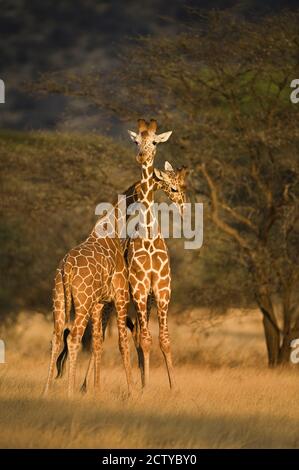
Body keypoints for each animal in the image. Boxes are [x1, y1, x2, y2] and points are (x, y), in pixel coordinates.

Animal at [81, 162, 189, 392]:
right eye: (173, 188)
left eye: (184, 186)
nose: (184, 209)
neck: (149, 240)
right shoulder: (139, 289)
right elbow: (146, 340)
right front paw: (145, 388)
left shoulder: (161, 291)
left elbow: (163, 339)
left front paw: (172, 387)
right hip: (110, 304)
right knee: (100, 337)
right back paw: (87, 386)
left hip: (141, 302)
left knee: (136, 336)